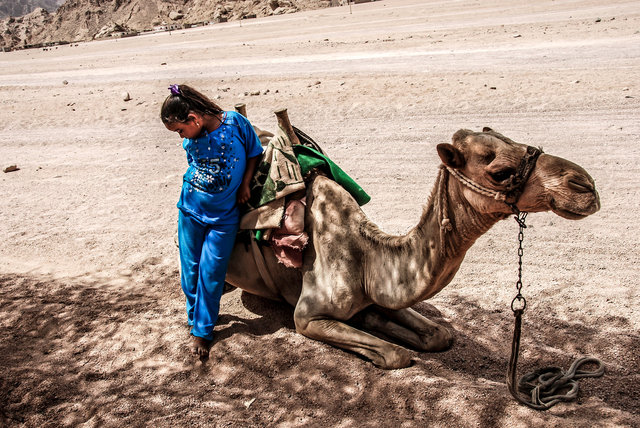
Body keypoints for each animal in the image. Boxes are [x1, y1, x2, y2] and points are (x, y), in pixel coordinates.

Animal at [224, 111, 600, 369]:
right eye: (500, 173)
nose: (585, 186)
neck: (367, 256)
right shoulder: (306, 316)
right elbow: (397, 356)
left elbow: (439, 335)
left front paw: (375, 319)